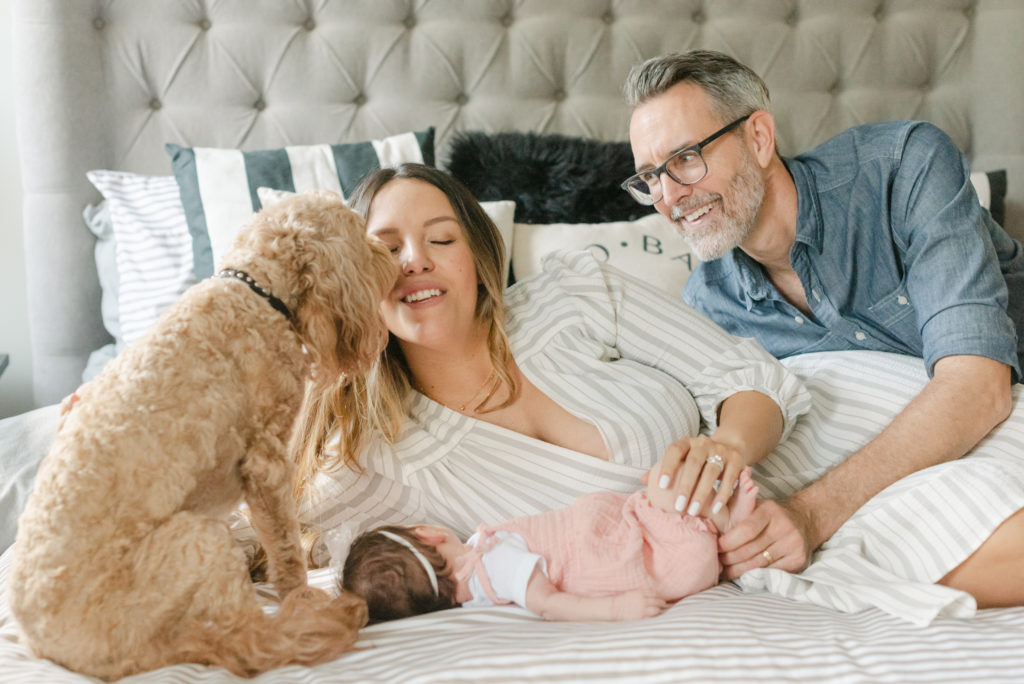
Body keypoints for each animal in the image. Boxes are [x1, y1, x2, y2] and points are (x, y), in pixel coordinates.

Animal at [8, 188, 395, 679]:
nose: (392, 255)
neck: (256, 292)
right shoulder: (268, 465)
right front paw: (300, 592)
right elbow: (287, 549)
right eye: (360, 233)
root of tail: (69, 654)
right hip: (202, 541)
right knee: (252, 640)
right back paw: (318, 618)